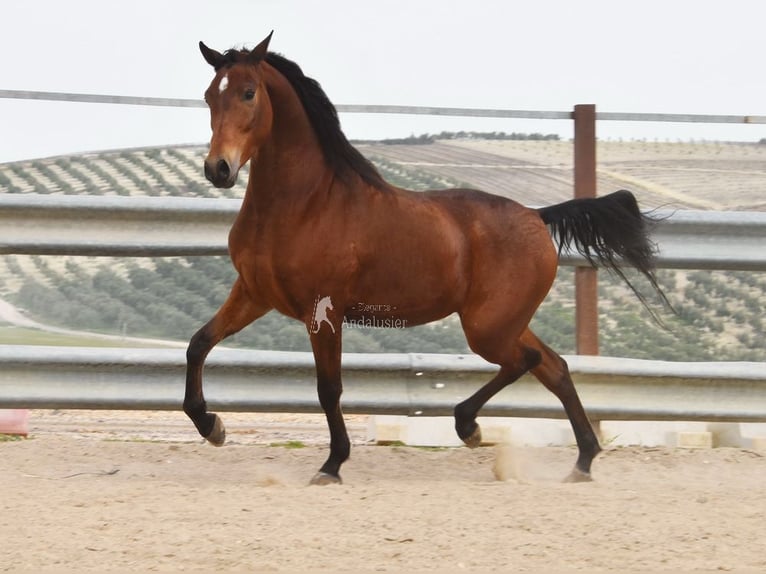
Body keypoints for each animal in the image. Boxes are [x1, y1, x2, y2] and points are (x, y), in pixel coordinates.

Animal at [185, 32, 668, 485]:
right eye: (209, 95)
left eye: (249, 92)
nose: (218, 169)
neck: (304, 204)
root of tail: (537, 215)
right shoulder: (253, 293)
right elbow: (199, 344)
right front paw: (212, 426)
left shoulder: (324, 312)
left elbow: (329, 388)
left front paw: (332, 464)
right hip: (502, 321)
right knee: (555, 367)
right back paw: (582, 461)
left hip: (488, 328)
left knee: (526, 361)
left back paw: (471, 427)